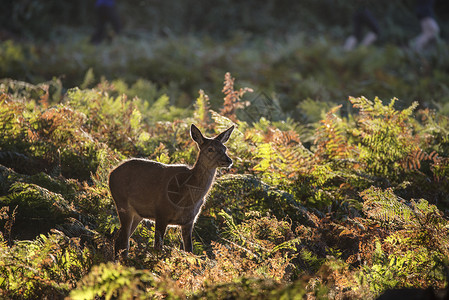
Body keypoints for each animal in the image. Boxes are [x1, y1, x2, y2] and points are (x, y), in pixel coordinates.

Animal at [109, 124, 234, 258]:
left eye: (224, 148)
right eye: (210, 149)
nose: (229, 160)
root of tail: (111, 173)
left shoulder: (189, 221)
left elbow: (189, 251)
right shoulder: (161, 213)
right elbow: (157, 249)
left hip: (137, 214)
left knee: (119, 239)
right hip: (122, 203)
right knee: (123, 241)